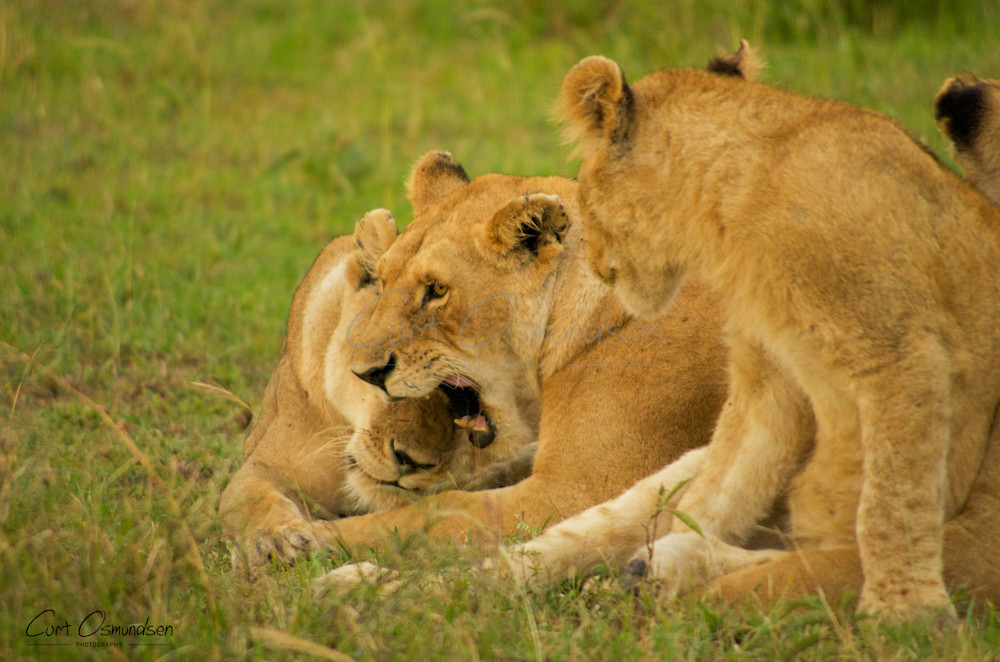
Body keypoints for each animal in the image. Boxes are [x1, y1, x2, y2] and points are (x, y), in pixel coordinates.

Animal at [219, 210, 536, 569]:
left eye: (466, 405)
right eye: (378, 375)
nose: (411, 462)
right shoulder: (263, 462)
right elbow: (249, 500)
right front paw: (278, 540)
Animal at [554, 46, 1000, 620]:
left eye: (582, 191)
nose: (590, 263)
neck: (729, 209)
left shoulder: (904, 355)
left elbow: (890, 503)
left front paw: (903, 613)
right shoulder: (769, 374)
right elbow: (720, 484)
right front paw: (664, 557)